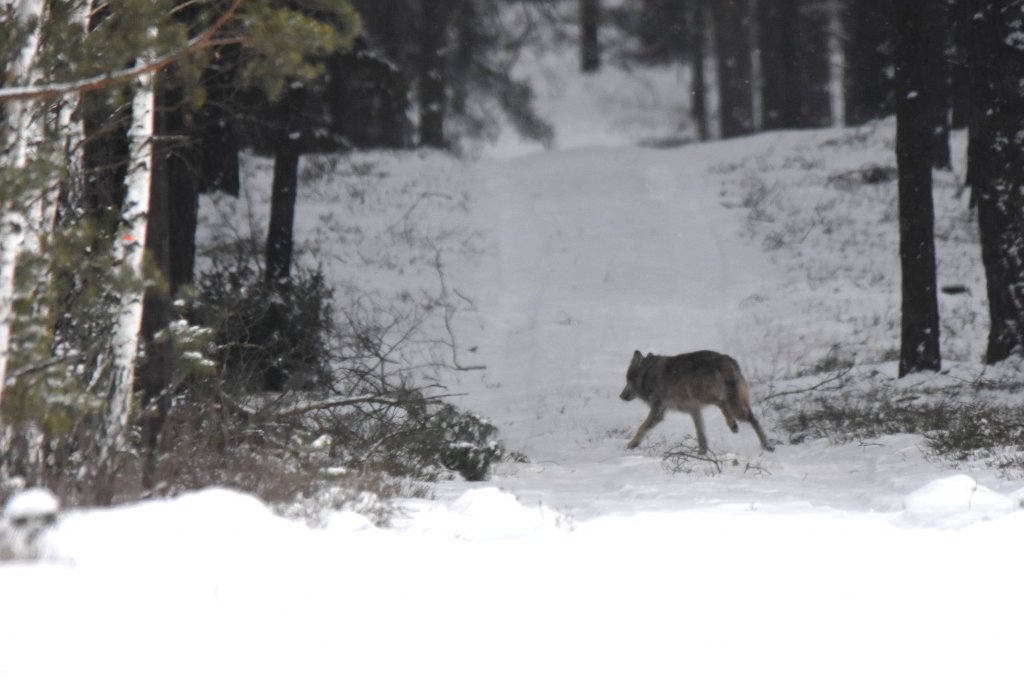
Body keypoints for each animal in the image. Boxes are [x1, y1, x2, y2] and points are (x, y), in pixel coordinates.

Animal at [614, 352, 774, 454]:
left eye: (628, 381)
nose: (621, 396)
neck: (649, 375)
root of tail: (726, 361)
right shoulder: (694, 410)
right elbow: (700, 433)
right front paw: (702, 452)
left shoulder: (657, 410)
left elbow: (641, 427)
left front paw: (631, 445)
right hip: (736, 402)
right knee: (752, 418)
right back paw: (767, 446)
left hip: (708, 396)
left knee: (722, 404)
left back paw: (733, 426)